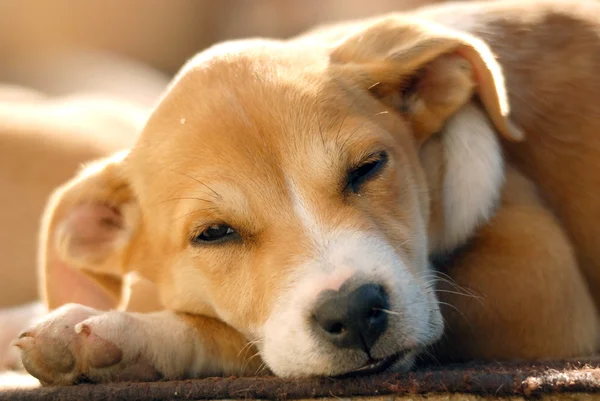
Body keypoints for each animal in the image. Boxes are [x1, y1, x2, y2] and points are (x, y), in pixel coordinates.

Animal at [11, 0, 600, 386]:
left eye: (368, 168)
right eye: (214, 233)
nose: (355, 311)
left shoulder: (539, 296)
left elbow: (236, 339)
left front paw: (118, 335)